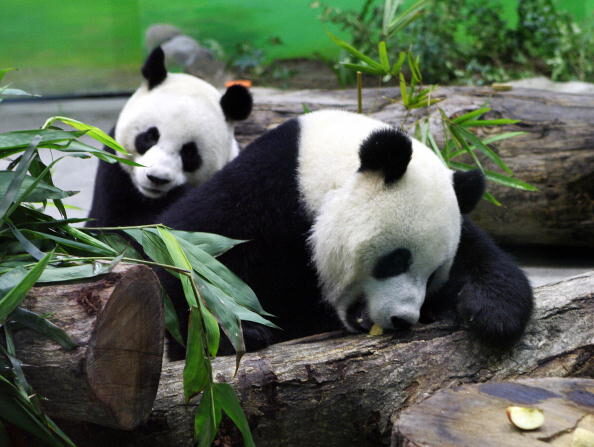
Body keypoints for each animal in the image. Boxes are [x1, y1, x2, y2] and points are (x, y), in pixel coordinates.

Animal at [85, 46, 250, 228]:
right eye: (150, 137)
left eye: (189, 152)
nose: (157, 179)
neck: (152, 199)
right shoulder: (113, 176)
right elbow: (116, 224)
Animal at [145, 109, 532, 360]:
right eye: (396, 260)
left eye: (434, 274)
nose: (403, 319)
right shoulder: (263, 193)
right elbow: (185, 252)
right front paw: (240, 332)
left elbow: (481, 256)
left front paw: (490, 314)